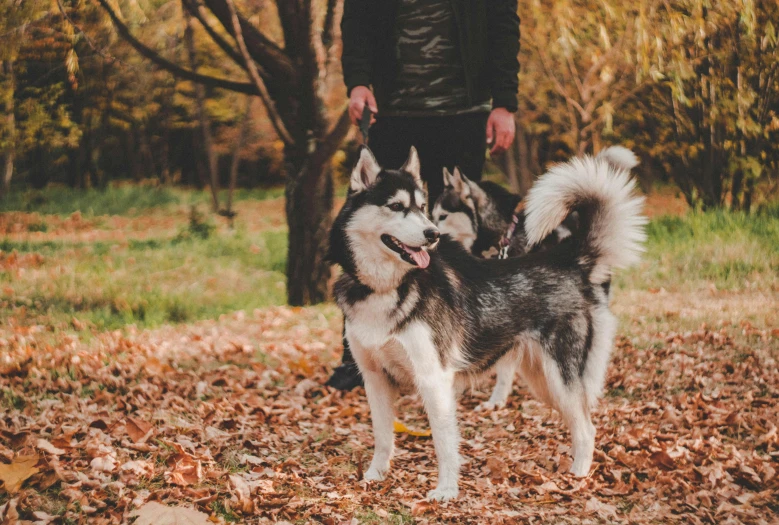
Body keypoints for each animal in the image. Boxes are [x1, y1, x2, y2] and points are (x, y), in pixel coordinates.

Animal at [332, 144, 648, 500]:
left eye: (422, 208)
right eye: (397, 207)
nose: (433, 235)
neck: (385, 288)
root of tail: (570, 260)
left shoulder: (434, 379)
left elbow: (444, 443)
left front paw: (446, 490)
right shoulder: (375, 379)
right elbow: (383, 436)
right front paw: (375, 475)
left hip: (560, 378)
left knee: (587, 427)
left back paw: (578, 477)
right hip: (543, 382)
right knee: (578, 421)